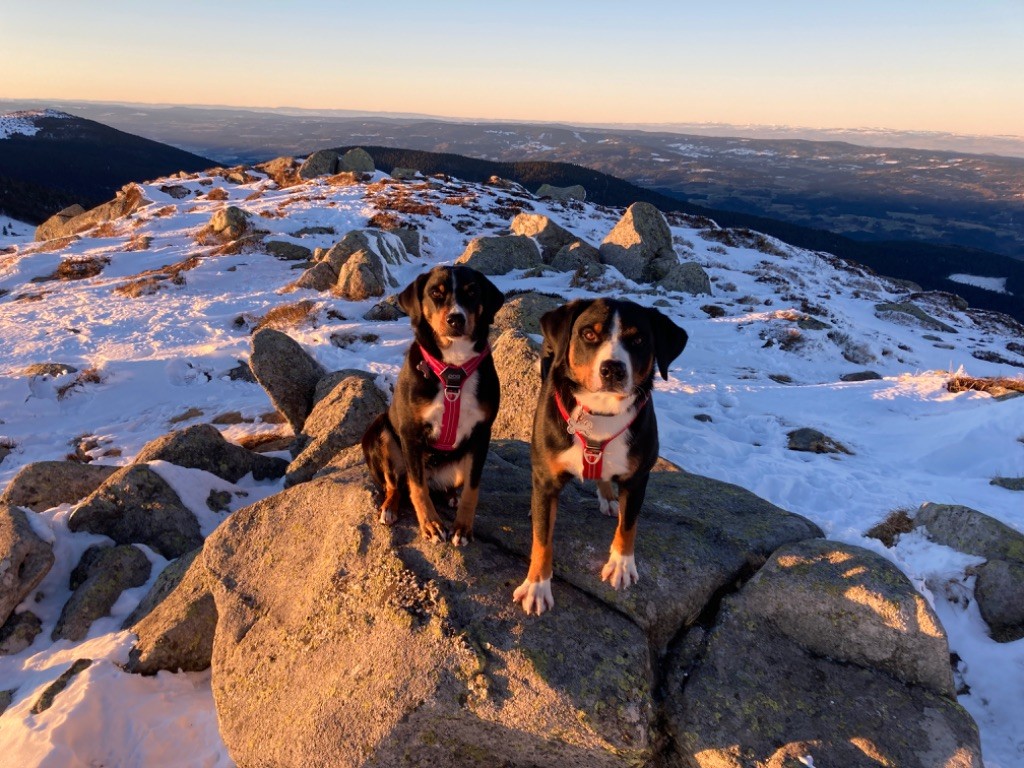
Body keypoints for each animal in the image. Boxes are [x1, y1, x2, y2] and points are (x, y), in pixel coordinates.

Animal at [360, 264, 503, 548]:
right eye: (436, 293)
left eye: (472, 292)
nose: (456, 319)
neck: (454, 368)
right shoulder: (411, 433)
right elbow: (418, 488)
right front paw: (431, 525)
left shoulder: (482, 434)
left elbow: (472, 489)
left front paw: (462, 527)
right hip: (379, 432)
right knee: (396, 485)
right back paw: (389, 507)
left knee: (448, 487)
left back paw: (450, 496)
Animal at [512, 296, 688, 618]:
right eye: (589, 335)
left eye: (638, 339)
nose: (613, 369)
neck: (602, 413)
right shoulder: (546, 477)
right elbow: (542, 539)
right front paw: (537, 586)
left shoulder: (637, 477)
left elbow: (628, 524)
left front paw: (621, 564)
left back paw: (607, 497)